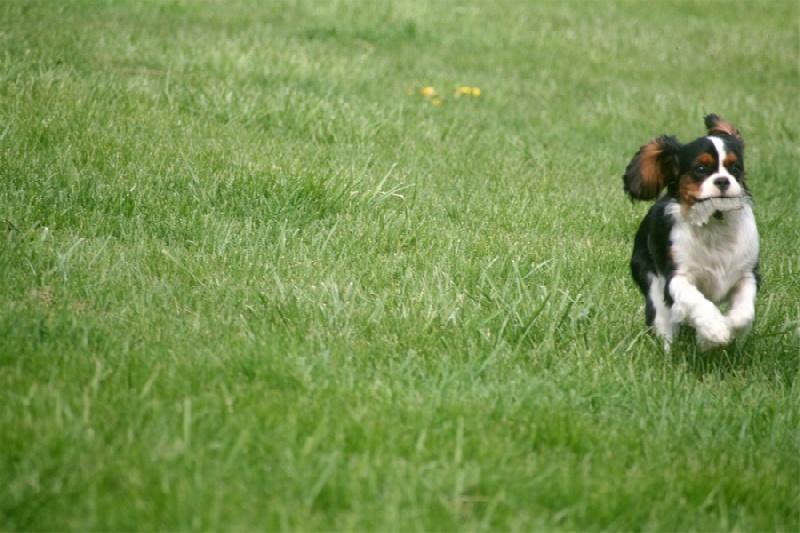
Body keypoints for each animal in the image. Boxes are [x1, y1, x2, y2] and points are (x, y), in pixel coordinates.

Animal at [620, 114, 760, 350]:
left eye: (735, 169)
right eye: (701, 169)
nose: (723, 180)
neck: (713, 224)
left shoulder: (748, 274)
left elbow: (744, 314)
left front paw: (724, 330)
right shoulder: (677, 277)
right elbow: (696, 302)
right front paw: (714, 332)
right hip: (652, 285)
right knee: (663, 323)